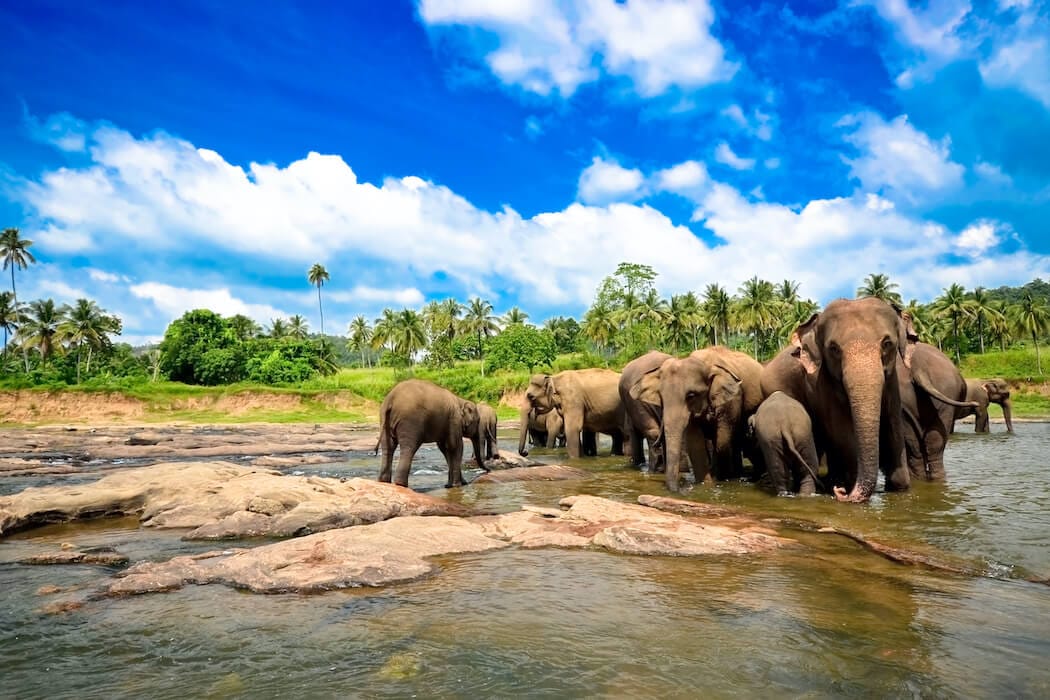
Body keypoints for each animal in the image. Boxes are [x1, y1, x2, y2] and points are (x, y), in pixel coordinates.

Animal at [636, 346, 764, 491]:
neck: (705, 363)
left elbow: (722, 441)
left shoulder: (732, 400)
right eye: (661, 397)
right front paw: (706, 484)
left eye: (691, 396)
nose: (680, 489)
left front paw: (722, 480)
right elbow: (695, 444)